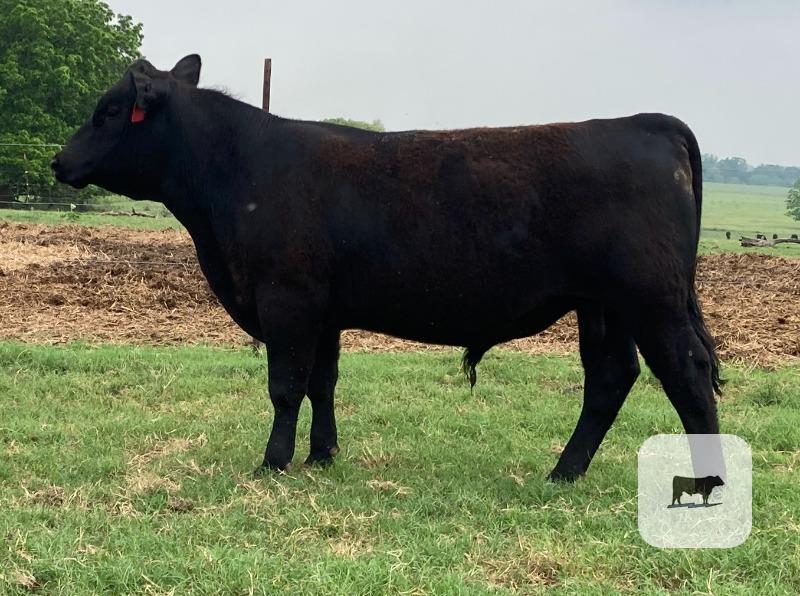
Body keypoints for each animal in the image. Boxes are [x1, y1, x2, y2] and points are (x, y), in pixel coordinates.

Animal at [52, 55, 722, 481]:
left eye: (108, 111)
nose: (59, 161)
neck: (235, 172)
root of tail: (647, 122)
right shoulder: (324, 310)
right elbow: (322, 382)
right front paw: (321, 457)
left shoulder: (287, 298)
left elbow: (285, 384)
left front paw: (272, 463)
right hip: (603, 305)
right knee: (610, 377)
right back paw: (563, 472)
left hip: (650, 297)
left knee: (685, 372)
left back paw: (709, 483)